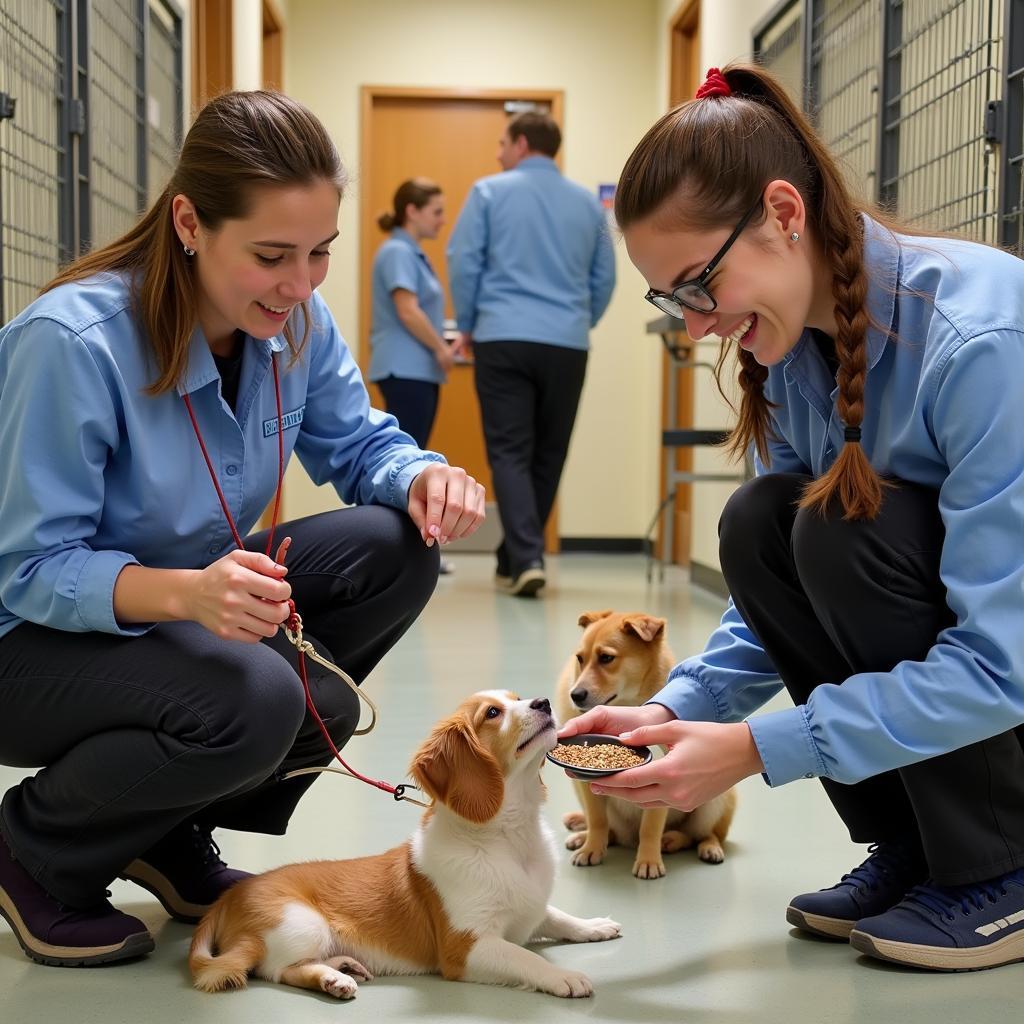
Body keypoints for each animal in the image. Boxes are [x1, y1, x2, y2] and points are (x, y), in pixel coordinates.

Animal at [190, 688, 622, 999]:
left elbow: (556, 915)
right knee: (277, 970)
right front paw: (562, 975)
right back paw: (332, 979)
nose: (544, 701)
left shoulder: (528, 908)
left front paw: (593, 926)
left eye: (516, 698)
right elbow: (523, 956)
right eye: (492, 713)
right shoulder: (465, 948)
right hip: (303, 924)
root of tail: (227, 899)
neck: (507, 839)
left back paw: (340, 971)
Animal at [561, 606, 737, 880]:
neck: (627, 704)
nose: (575, 695)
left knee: (703, 834)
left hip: (716, 797)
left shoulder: (661, 786)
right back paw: (584, 833)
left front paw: (648, 860)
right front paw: (592, 848)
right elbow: (598, 821)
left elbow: (650, 829)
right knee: (610, 830)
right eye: (580, 658)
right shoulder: (588, 789)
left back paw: (693, 844)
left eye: (606, 658)